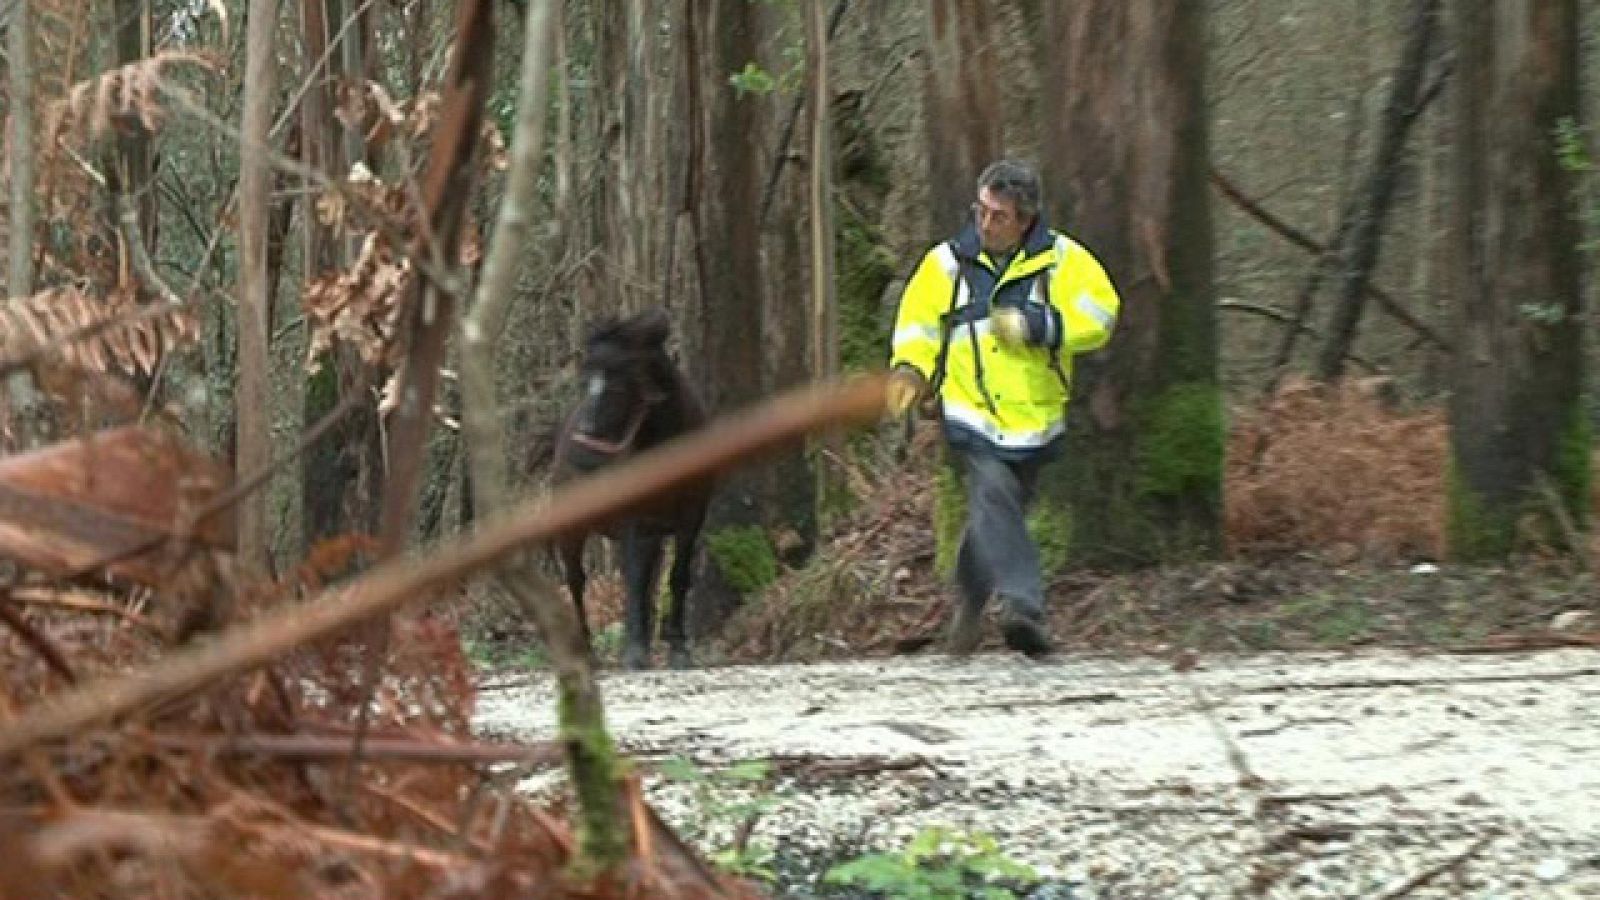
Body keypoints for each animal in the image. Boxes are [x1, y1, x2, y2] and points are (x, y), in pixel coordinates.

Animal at [553, 307, 710, 666]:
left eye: (619, 380)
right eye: (587, 379)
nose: (584, 435)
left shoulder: (689, 517)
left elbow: (677, 576)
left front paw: (678, 648)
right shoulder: (635, 520)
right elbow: (635, 580)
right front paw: (635, 651)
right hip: (572, 531)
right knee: (576, 581)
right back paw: (586, 650)